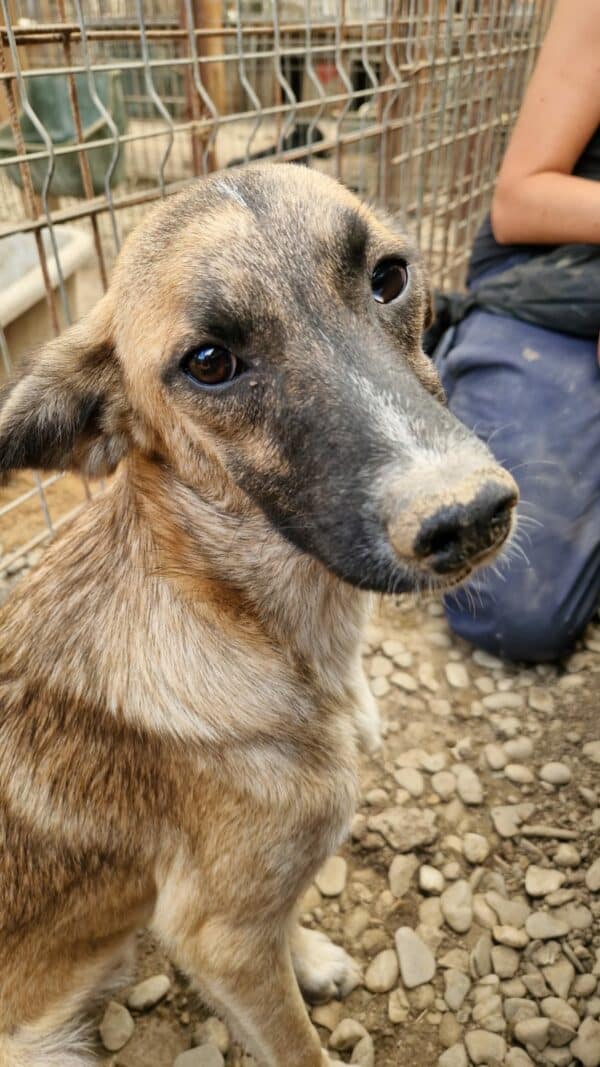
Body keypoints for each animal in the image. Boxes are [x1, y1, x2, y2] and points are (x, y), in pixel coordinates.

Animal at [0, 164, 514, 1067]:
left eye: (389, 276)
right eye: (209, 362)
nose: (470, 512)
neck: (245, 616)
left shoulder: (248, 919)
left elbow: (288, 916)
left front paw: (306, 953)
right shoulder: (218, 939)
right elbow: (296, 1041)